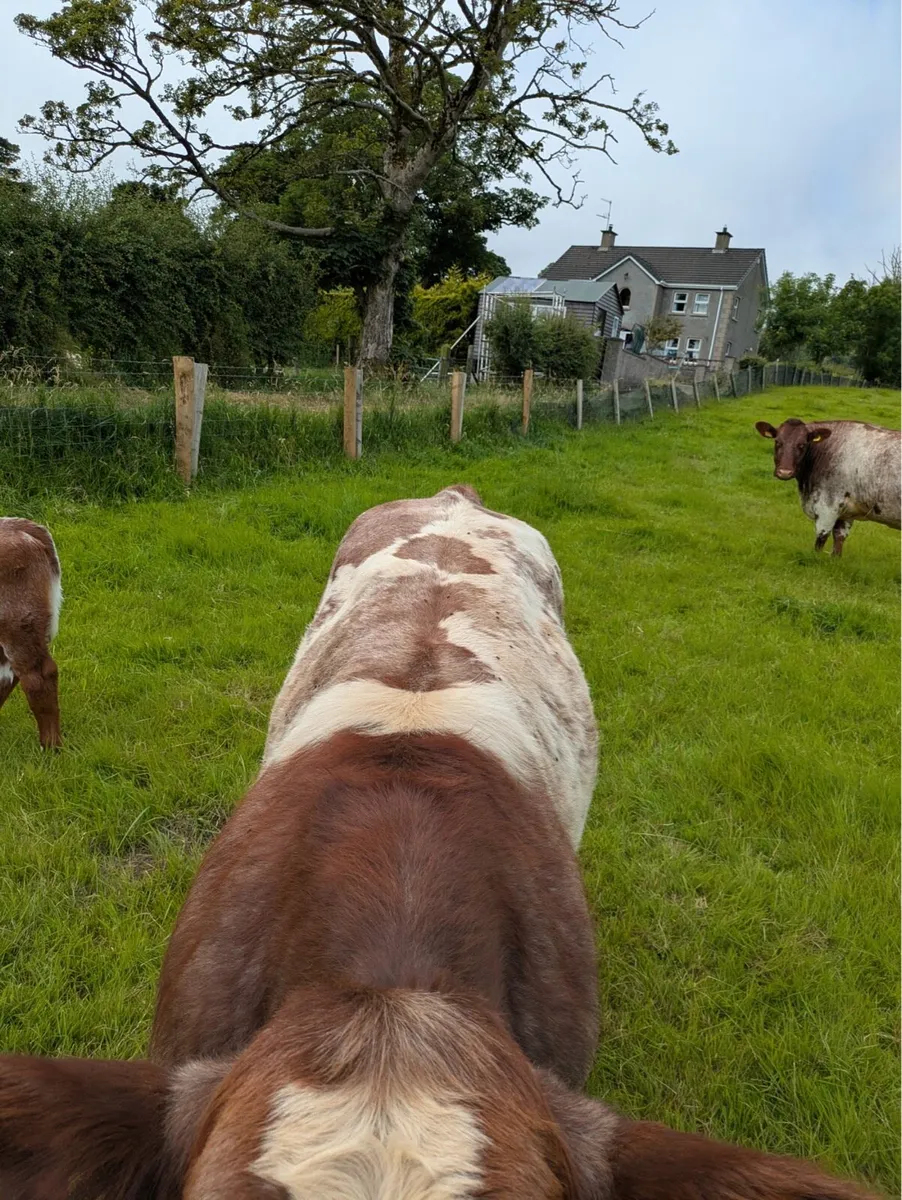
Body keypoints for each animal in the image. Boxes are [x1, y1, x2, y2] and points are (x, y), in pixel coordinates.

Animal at [755, 418, 901, 556]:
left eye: (802, 445)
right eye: (777, 442)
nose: (785, 472)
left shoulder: (827, 506)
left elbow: (820, 540)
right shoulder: (846, 512)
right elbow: (838, 540)